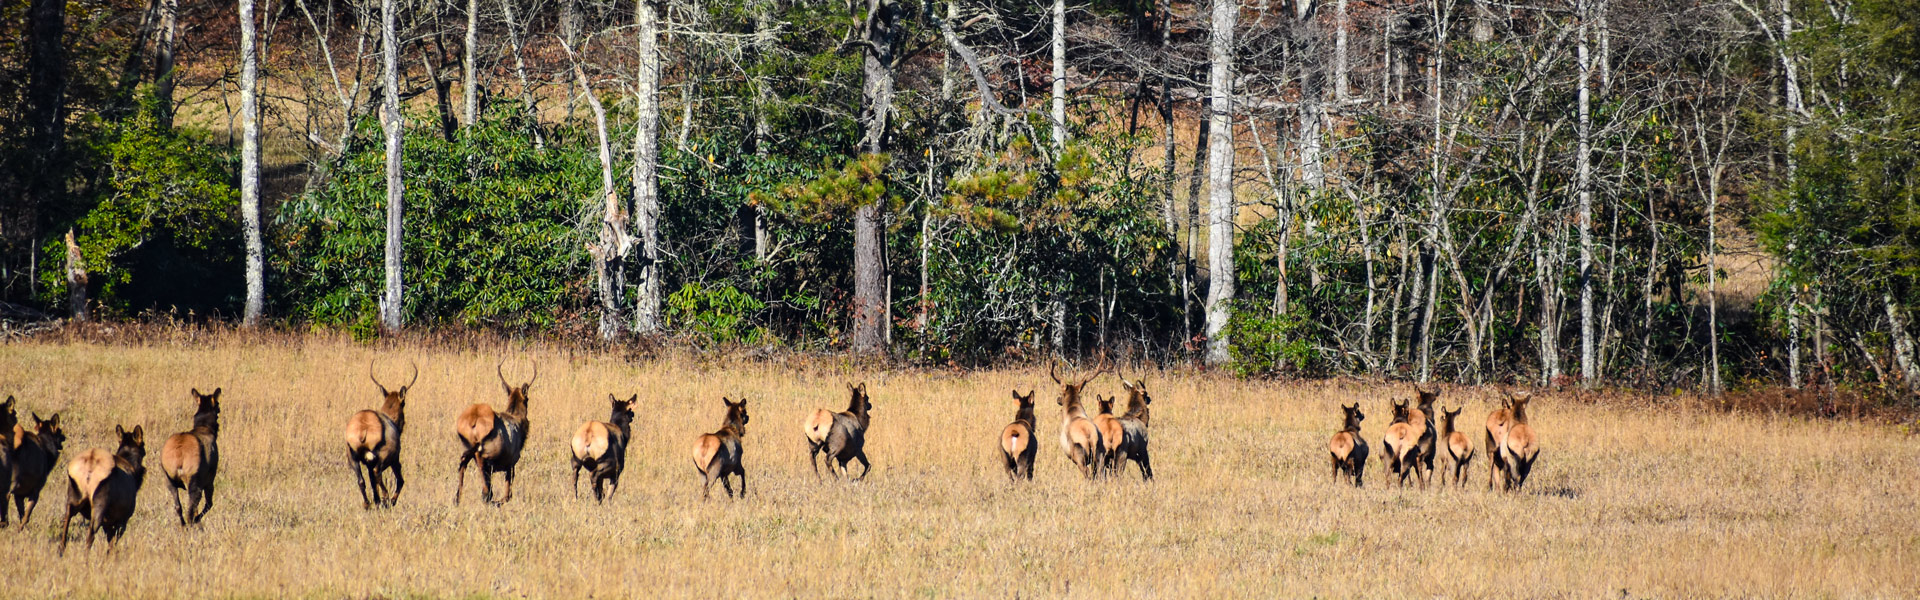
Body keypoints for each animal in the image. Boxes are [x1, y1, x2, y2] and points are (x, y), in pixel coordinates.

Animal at [59, 425, 145, 553]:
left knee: (65, 525)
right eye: (143, 445)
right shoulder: (122, 518)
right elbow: (112, 544)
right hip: (99, 505)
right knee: (90, 534)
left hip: (72, 499)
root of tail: (90, 465)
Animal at [160, 386, 221, 523]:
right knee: (191, 511)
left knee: (178, 507)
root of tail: (179, 459)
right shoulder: (210, 478)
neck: (206, 427)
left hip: (168, 480)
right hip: (194, 481)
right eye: (218, 407)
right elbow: (209, 504)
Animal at [345, 363, 412, 507]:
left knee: (362, 480)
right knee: (378, 473)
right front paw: (391, 501)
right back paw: (385, 498)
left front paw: (377, 500)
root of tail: (363, 428)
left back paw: (368, 504)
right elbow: (400, 480)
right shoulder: (395, 459)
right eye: (403, 404)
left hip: (354, 459)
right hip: (383, 458)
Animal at [453, 361, 537, 507]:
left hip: (468, 446)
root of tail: (473, 419)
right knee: (482, 471)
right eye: (527, 399)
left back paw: (457, 498)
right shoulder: (512, 460)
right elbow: (508, 494)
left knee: (463, 463)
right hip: (488, 450)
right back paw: (486, 496)